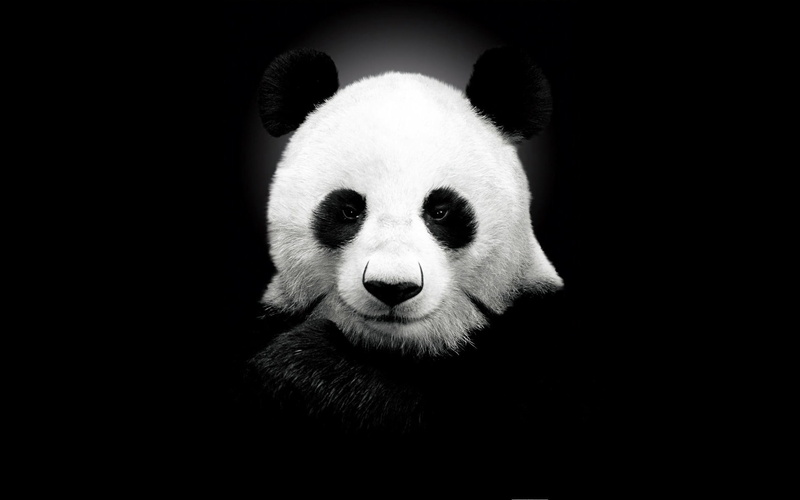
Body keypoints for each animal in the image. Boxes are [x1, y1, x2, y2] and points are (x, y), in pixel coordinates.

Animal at [238, 47, 588, 494]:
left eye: (440, 210)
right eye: (348, 210)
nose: (392, 287)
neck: (400, 351)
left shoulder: (541, 341)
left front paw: (305, 368)